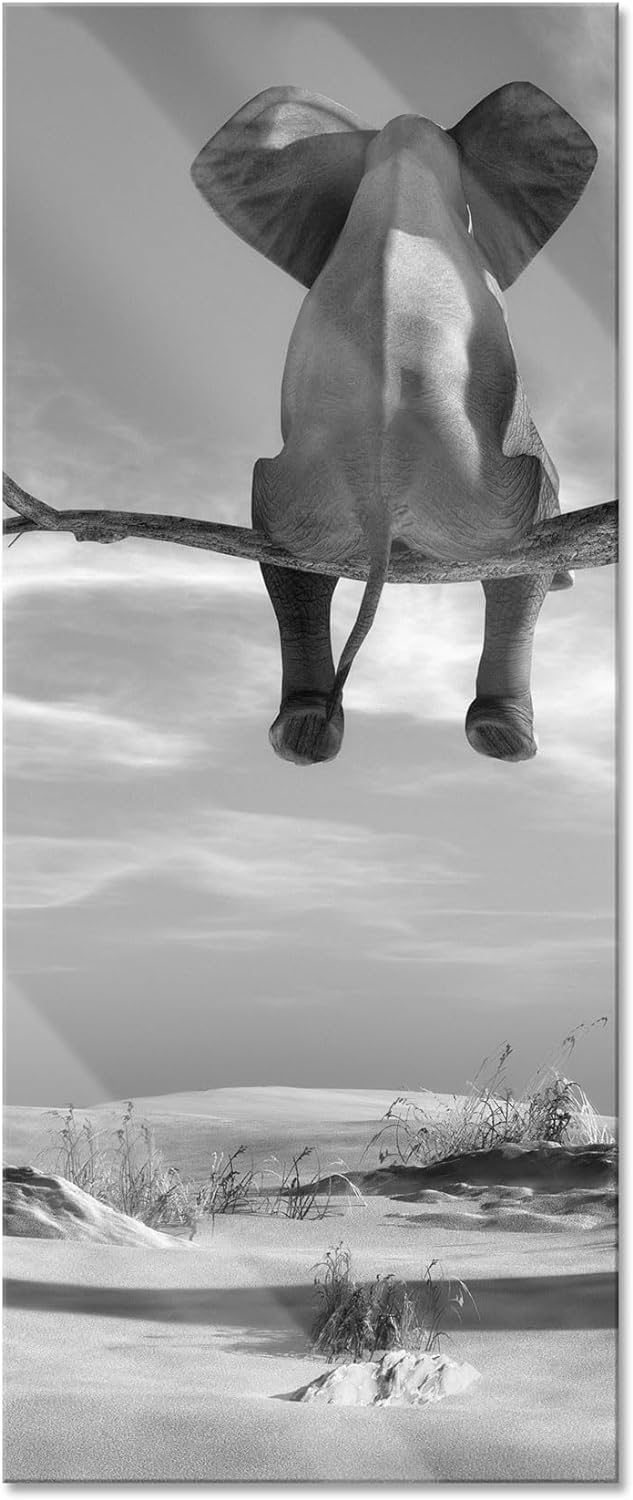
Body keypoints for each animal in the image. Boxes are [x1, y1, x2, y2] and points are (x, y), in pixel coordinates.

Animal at [191, 83, 597, 766]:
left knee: (289, 563)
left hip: (299, 496)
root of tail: (378, 497)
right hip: (486, 495)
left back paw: (302, 735)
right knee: (521, 551)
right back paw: (504, 738)